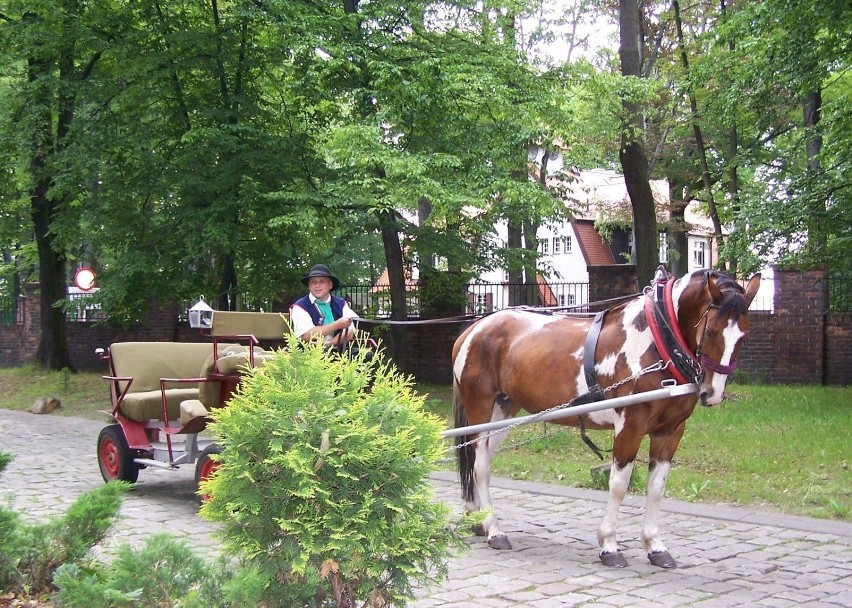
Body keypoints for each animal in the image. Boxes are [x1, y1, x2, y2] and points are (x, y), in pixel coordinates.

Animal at [452, 268, 760, 568]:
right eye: (711, 331)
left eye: (744, 336)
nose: (712, 393)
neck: (656, 341)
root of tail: (474, 329)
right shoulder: (630, 426)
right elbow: (619, 485)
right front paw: (609, 545)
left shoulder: (670, 430)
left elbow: (657, 487)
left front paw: (655, 546)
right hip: (480, 408)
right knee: (480, 466)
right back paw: (494, 530)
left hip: (503, 412)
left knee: (480, 459)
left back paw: (478, 519)